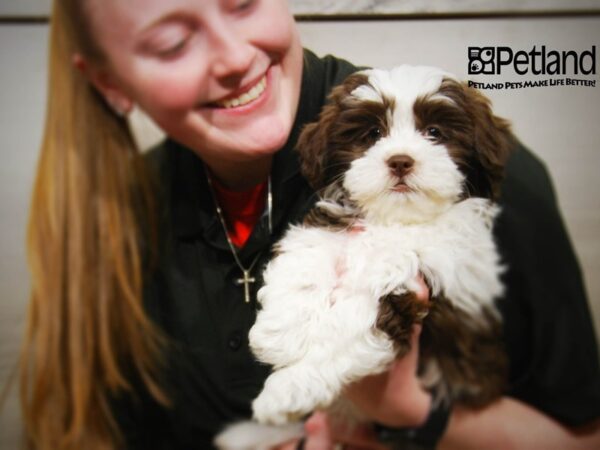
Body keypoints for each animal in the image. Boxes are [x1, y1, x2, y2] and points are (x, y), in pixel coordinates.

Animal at [216, 65, 510, 448]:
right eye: (373, 133)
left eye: (434, 133)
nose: (400, 161)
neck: (393, 222)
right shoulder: (331, 228)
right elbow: (305, 257)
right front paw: (279, 332)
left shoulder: (408, 292)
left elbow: (345, 328)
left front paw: (287, 389)